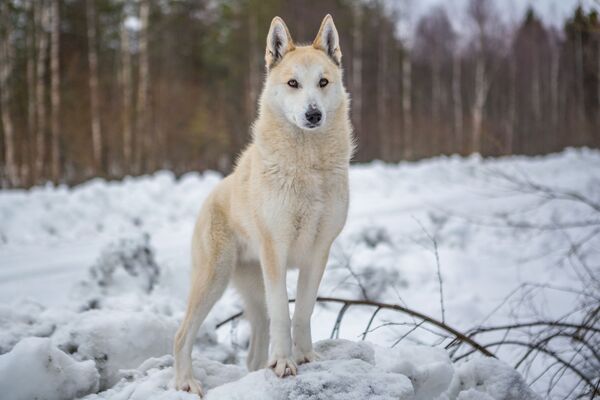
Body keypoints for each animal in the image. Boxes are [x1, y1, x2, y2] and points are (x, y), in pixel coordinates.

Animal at [172, 14, 352, 396]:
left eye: (323, 82)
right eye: (293, 83)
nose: (313, 115)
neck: (306, 166)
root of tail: (210, 197)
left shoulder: (318, 253)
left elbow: (303, 312)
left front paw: (306, 357)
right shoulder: (276, 253)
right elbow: (285, 315)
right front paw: (284, 363)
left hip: (253, 297)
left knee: (253, 355)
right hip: (213, 280)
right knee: (181, 335)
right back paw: (185, 383)